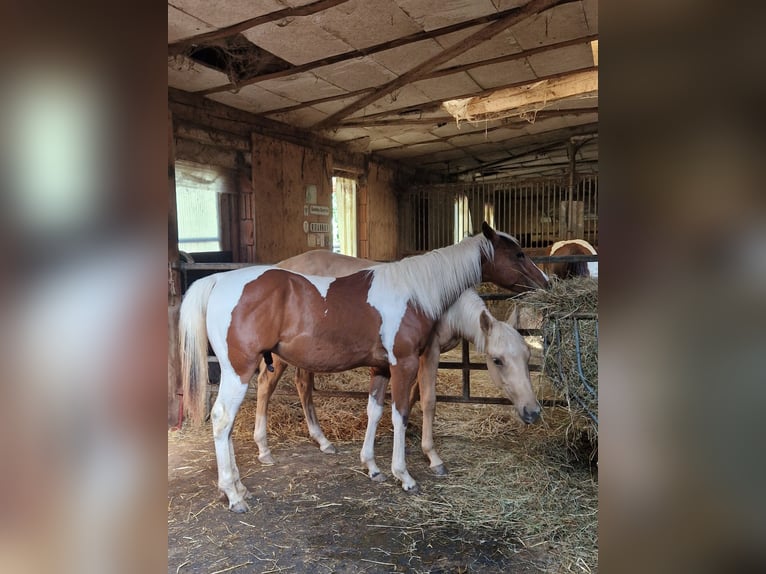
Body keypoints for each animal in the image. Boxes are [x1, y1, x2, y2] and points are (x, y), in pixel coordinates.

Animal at [251, 250, 538, 480]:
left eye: (527, 357)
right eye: (497, 360)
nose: (533, 411)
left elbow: (411, 397)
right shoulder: (428, 352)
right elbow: (429, 400)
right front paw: (432, 457)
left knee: (303, 385)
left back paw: (322, 440)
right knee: (266, 384)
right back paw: (264, 449)